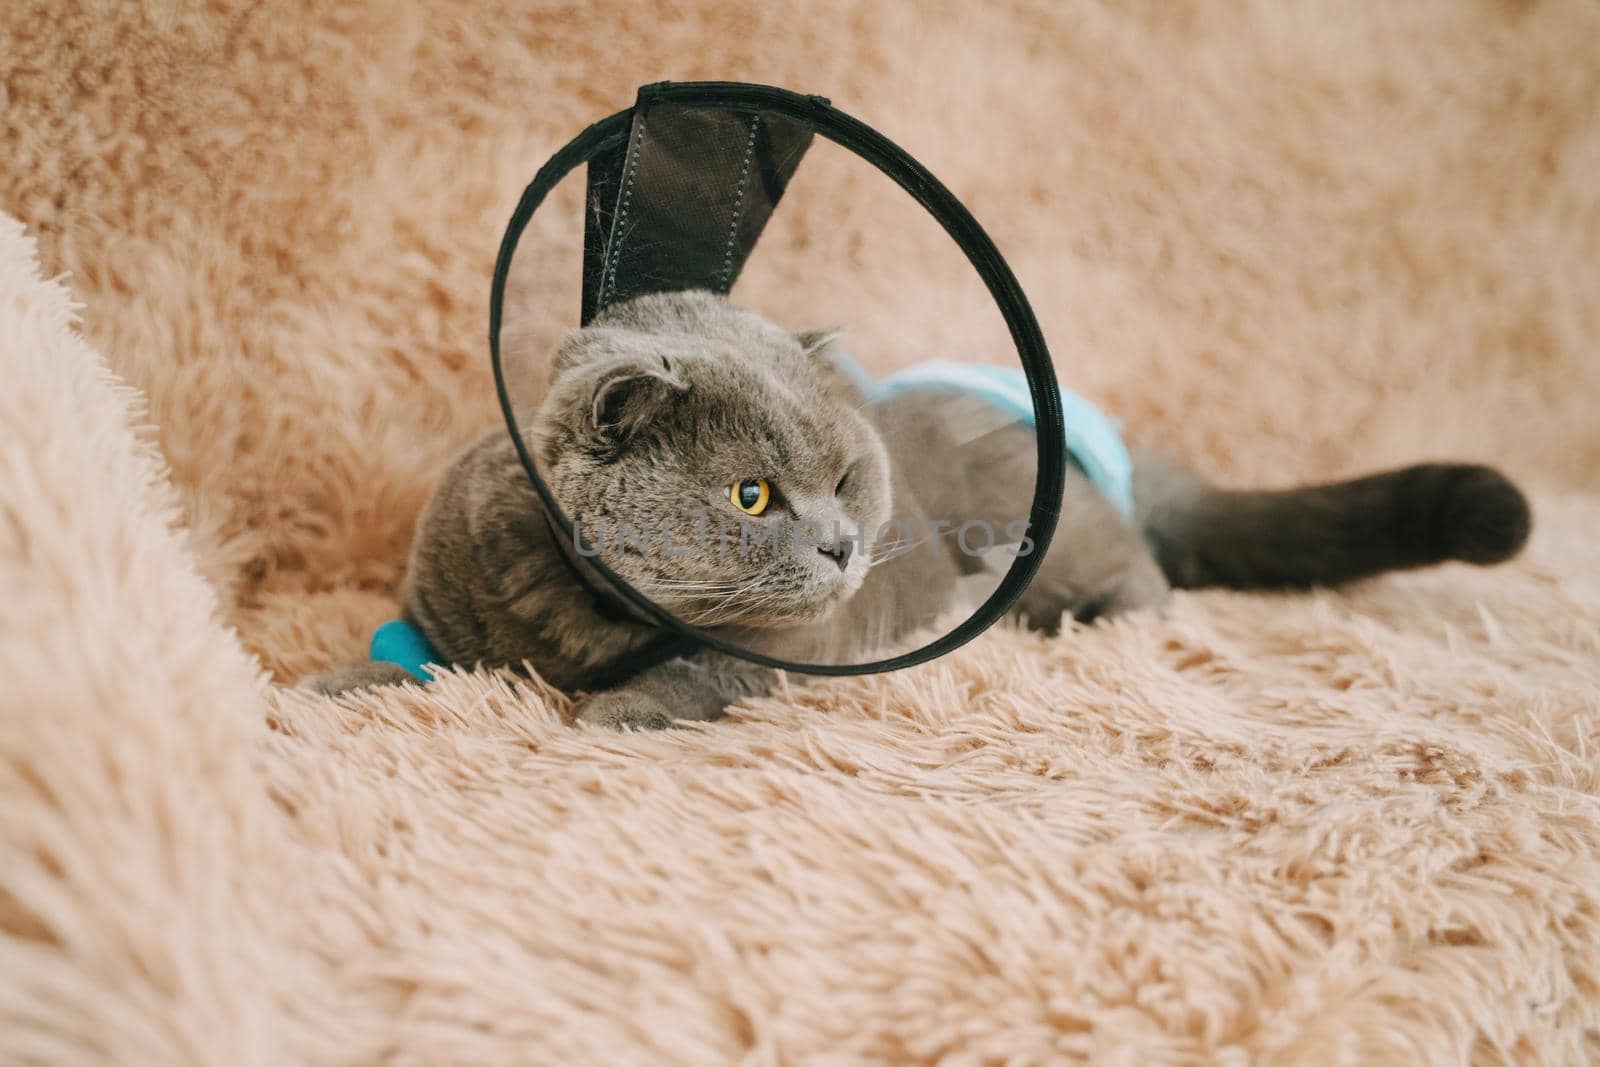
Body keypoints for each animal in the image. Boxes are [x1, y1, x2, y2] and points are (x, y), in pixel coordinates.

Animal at [302, 287, 1536, 729]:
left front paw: (619, 710)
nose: (847, 542)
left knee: (1147, 579)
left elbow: (706, 671)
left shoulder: (794, 649)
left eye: (847, 479)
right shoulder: (446, 597)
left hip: (1068, 546)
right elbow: (419, 652)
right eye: (753, 493)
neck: (590, 618)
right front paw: (328, 682)